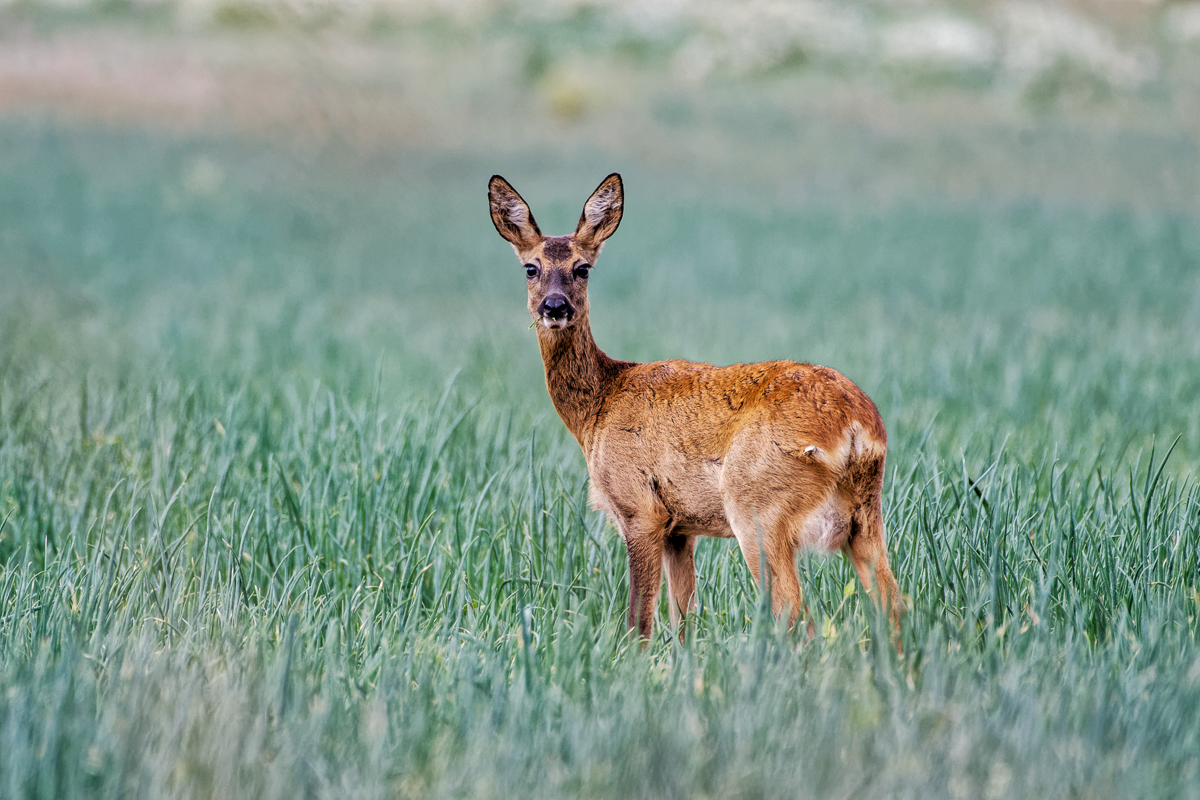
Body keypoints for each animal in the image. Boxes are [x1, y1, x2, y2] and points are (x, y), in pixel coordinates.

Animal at [487, 175, 902, 642]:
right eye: (530, 267)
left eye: (583, 268)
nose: (555, 307)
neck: (599, 407)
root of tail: (854, 426)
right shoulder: (679, 529)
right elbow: (682, 617)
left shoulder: (640, 508)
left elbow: (640, 619)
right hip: (864, 516)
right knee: (894, 605)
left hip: (757, 506)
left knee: (796, 612)